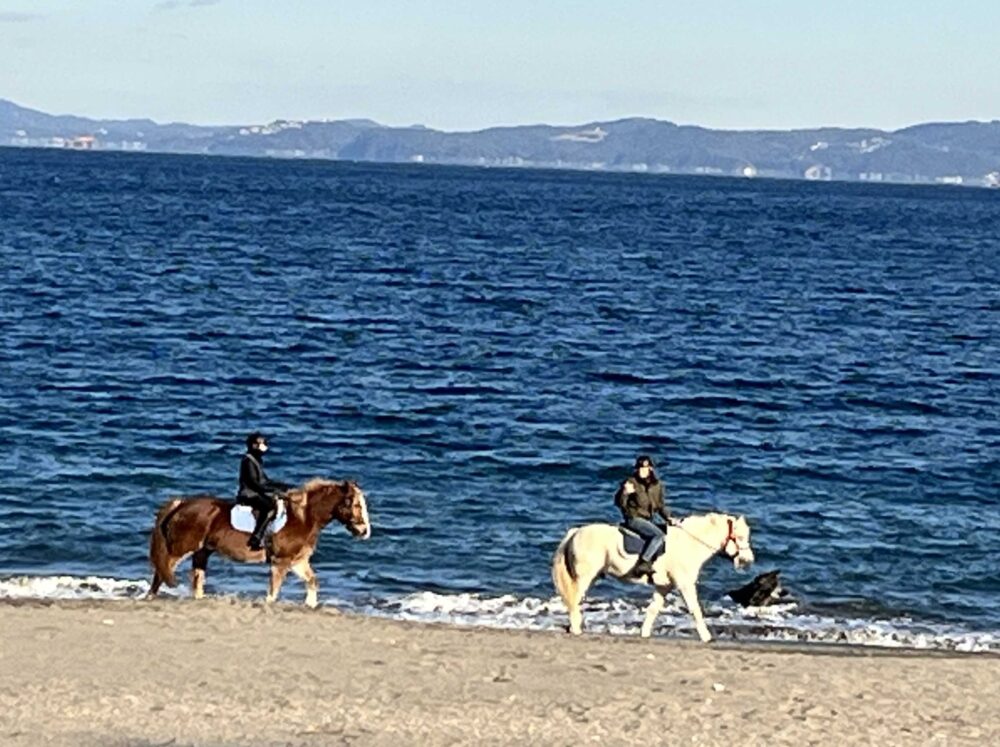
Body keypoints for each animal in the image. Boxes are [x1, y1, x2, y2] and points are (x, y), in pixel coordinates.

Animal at [146, 480, 370, 608]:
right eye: (356, 505)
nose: (365, 531)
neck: (304, 517)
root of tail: (181, 504)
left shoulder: (297, 561)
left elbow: (312, 581)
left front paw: (310, 605)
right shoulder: (280, 562)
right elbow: (273, 591)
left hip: (202, 552)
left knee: (196, 579)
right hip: (181, 549)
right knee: (161, 572)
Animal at [552, 516, 752, 644]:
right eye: (740, 537)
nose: (748, 560)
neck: (689, 543)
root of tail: (576, 532)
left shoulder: (664, 587)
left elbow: (653, 609)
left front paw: (644, 633)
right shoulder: (685, 584)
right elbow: (695, 609)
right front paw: (707, 637)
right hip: (584, 577)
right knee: (574, 600)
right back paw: (576, 629)